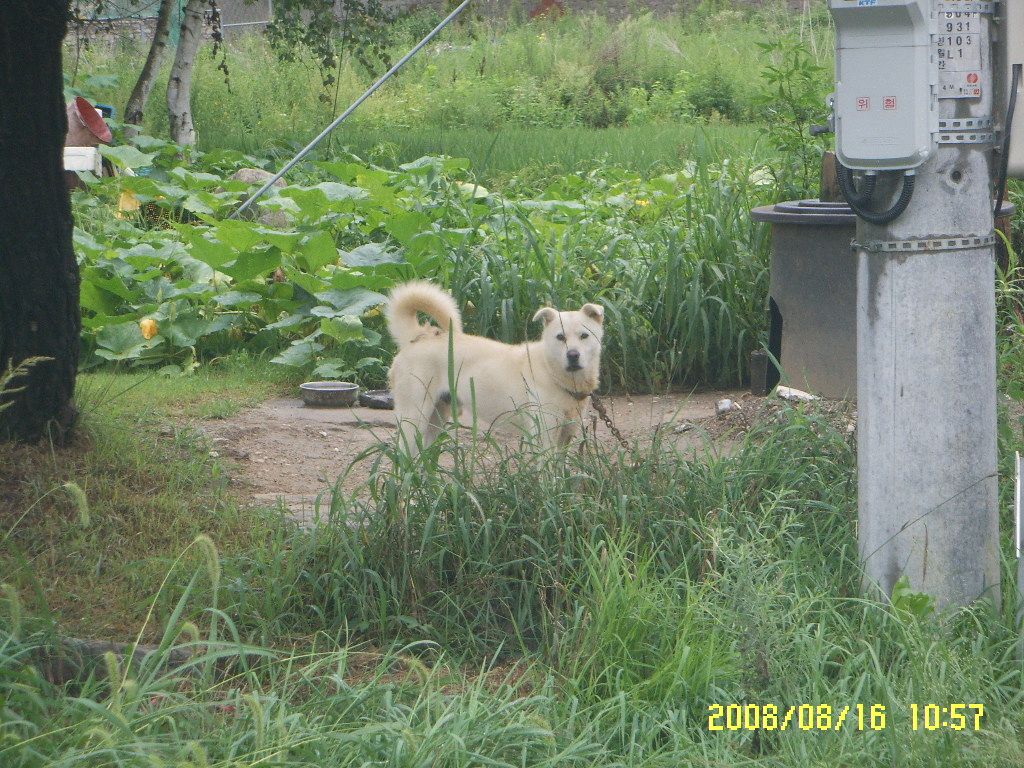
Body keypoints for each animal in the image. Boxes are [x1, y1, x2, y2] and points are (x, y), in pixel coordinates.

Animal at [387, 280, 602, 450]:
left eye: (584, 335)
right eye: (560, 337)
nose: (573, 355)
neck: (552, 373)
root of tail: (418, 337)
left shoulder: (566, 435)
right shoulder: (544, 437)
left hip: (436, 419)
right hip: (414, 418)